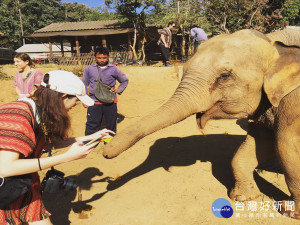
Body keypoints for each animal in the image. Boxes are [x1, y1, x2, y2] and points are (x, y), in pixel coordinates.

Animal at [102, 27, 300, 218]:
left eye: (224, 76)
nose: (105, 152)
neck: (274, 42)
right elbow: (257, 142)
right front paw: (244, 198)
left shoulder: (294, 102)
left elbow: (287, 146)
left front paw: (287, 211)